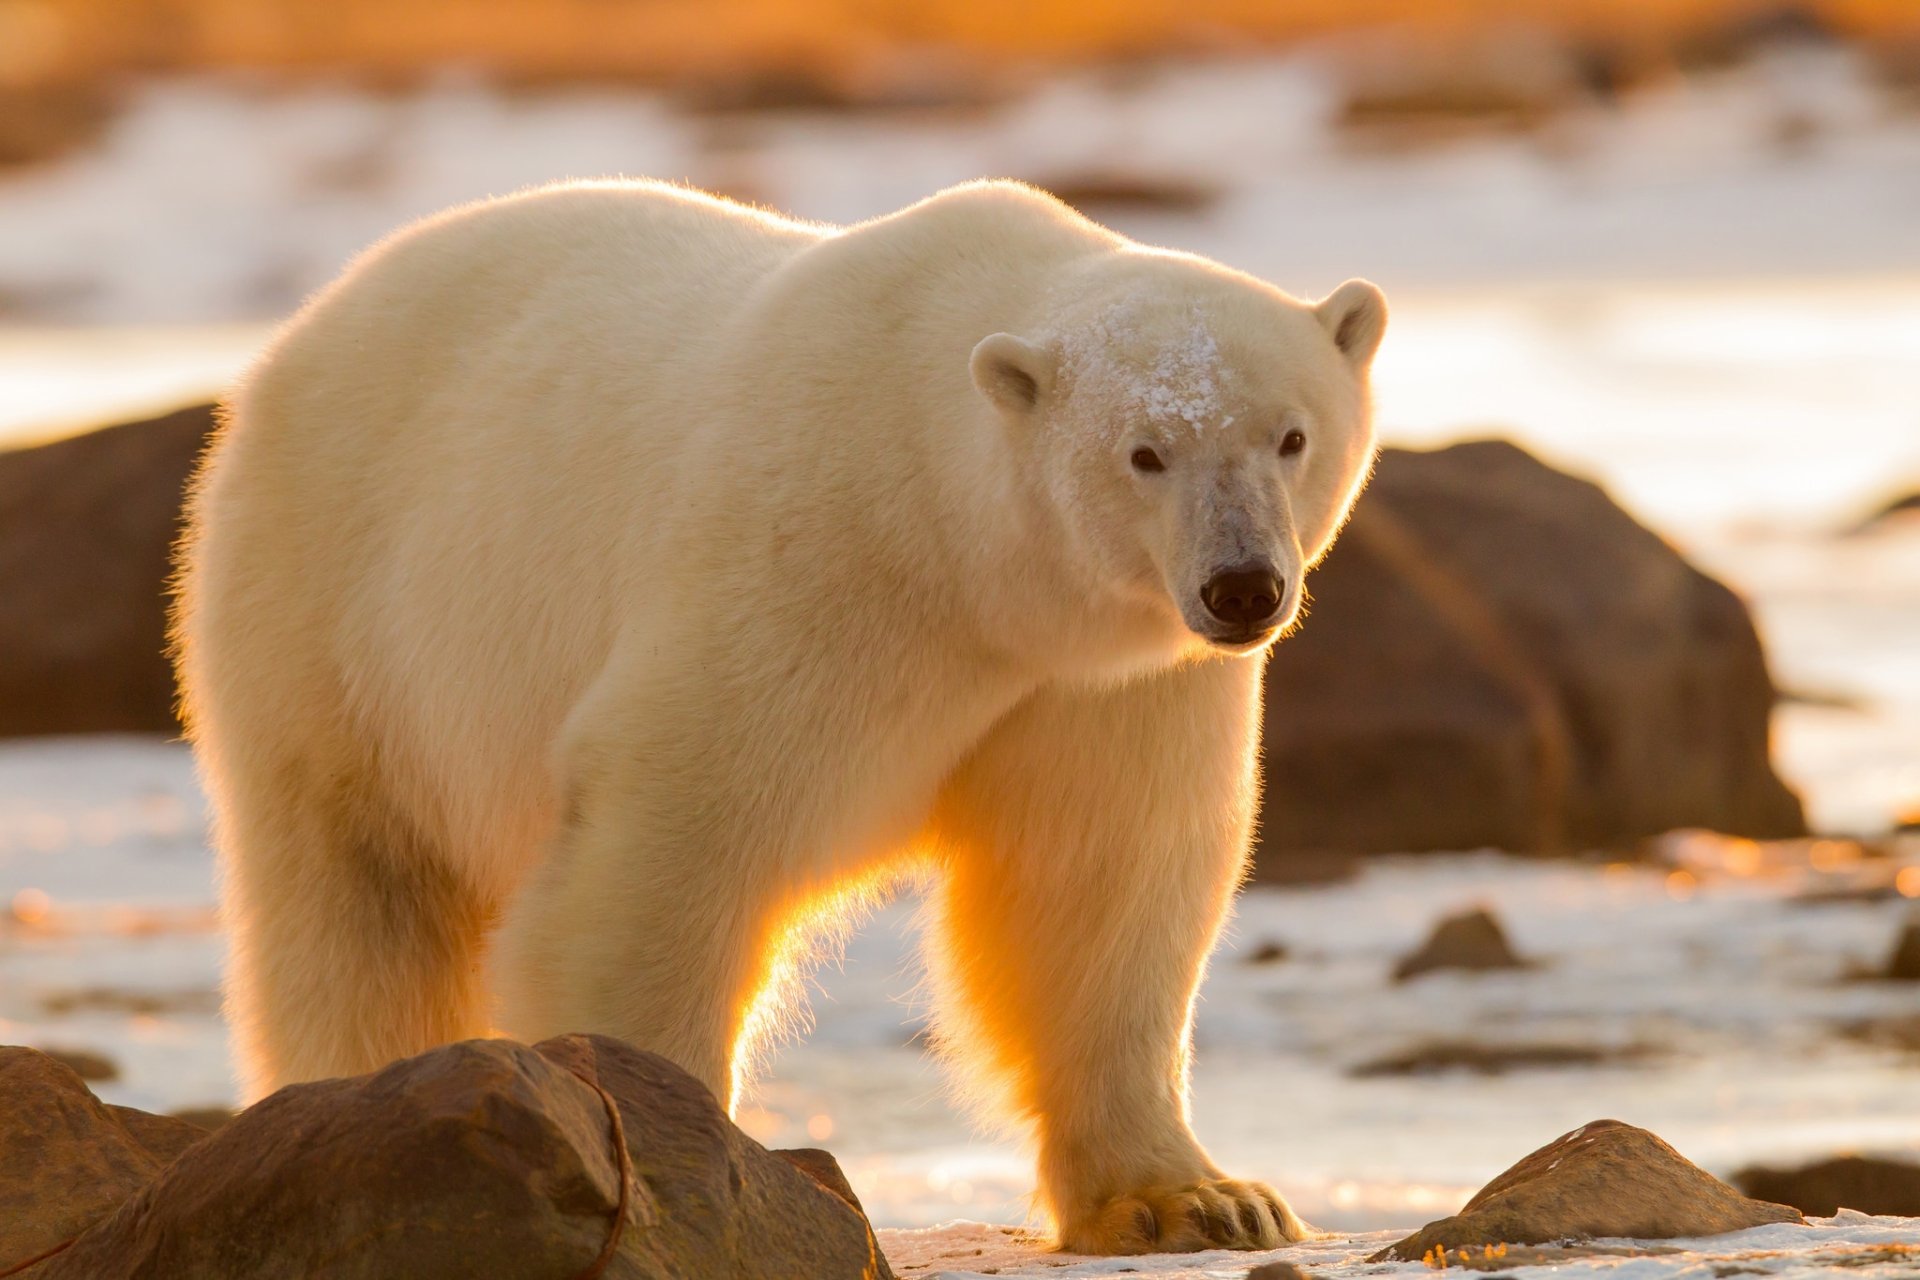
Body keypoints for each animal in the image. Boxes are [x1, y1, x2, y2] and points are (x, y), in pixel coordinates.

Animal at [171, 178, 1385, 1255]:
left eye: (1290, 436)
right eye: (1145, 452)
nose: (1242, 587)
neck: (960, 557)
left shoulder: (1103, 683)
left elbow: (1098, 884)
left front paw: (1201, 1200)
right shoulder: (807, 562)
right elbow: (672, 840)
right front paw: (673, 1163)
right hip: (336, 614)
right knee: (359, 896)